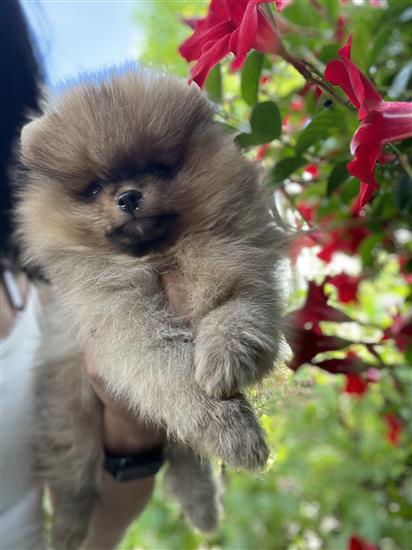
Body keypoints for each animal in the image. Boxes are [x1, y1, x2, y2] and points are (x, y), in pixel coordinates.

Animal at [16, 67, 286, 548]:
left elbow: (241, 313)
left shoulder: (243, 268)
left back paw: (203, 506)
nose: (127, 196)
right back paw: (68, 529)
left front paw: (225, 356)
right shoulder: (124, 322)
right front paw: (232, 431)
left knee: (184, 458)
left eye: (159, 169)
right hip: (67, 411)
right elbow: (173, 375)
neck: (159, 256)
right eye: (94, 188)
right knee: (74, 477)